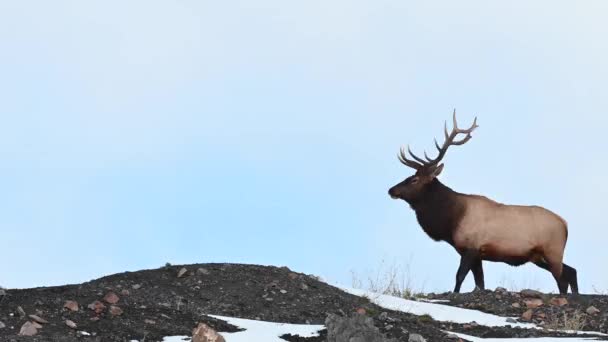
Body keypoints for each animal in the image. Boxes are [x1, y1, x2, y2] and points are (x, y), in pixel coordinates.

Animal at [390, 111, 580, 294]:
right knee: (572, 271)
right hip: (538, 256)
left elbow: (460, 276)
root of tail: (565, 224)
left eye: (414, 180)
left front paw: (455, 292)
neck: (451, 220)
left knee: (562, 279)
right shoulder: (477, 254)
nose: (391, 190)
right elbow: (479, 283)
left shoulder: (471, 248)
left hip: (552, 251)